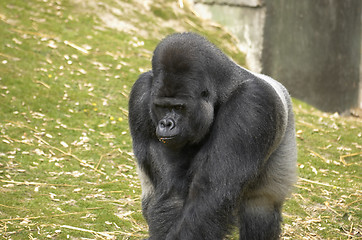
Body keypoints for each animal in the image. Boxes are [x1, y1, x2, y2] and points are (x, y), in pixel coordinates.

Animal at [128, 32, 296, 240]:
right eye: (162, 107)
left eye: (179, 107)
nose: (166, 124)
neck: (224, 87)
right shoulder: (141, 94)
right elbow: (172, 193)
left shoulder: (251, 104)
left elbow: (210, 198)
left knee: (260, 205)